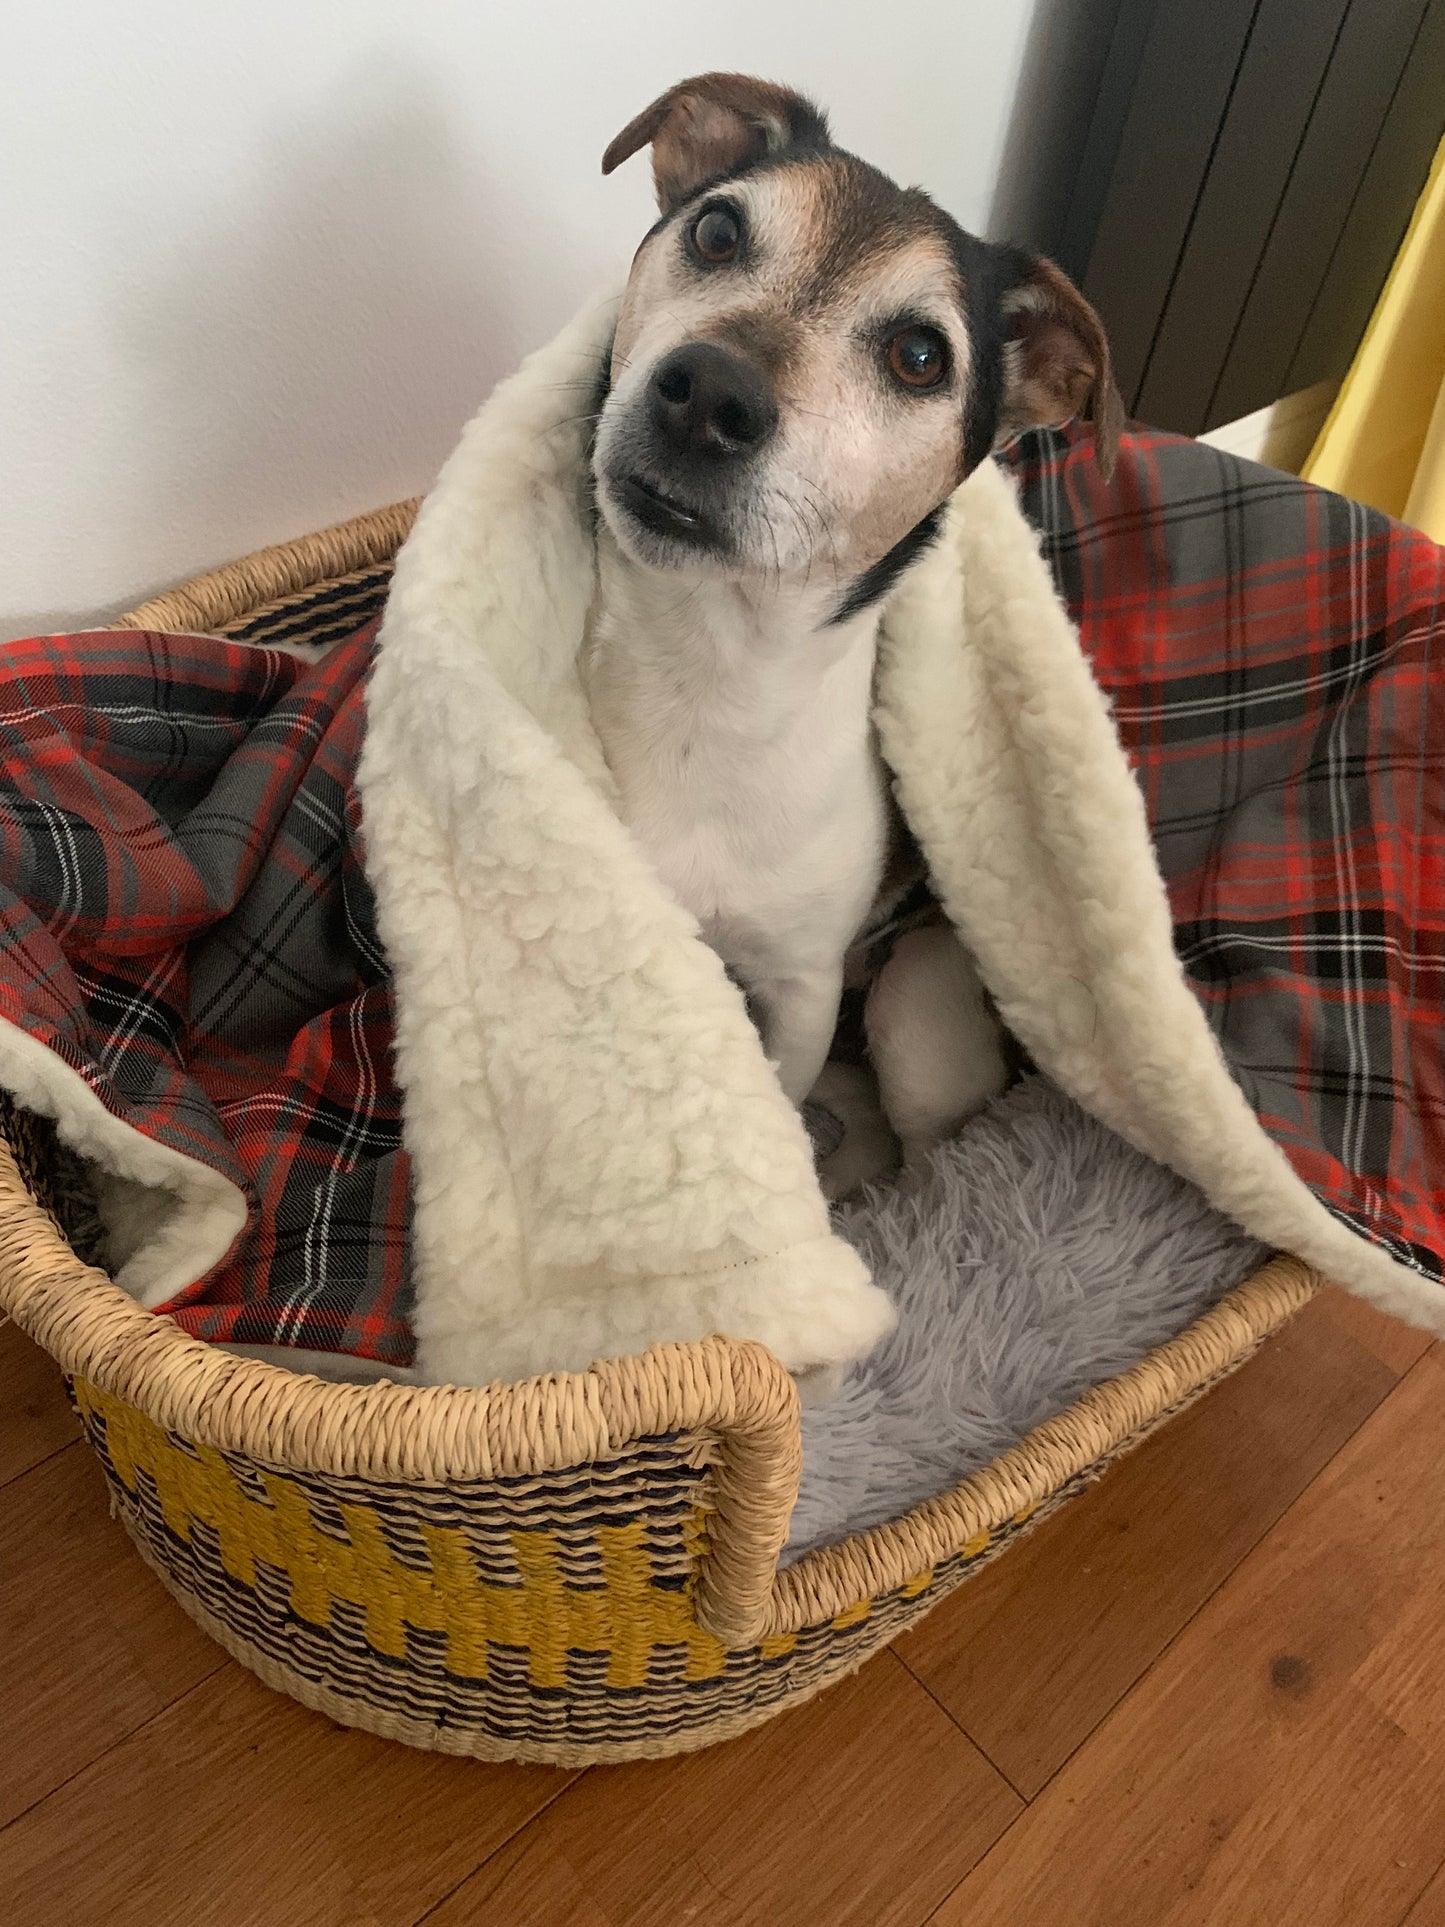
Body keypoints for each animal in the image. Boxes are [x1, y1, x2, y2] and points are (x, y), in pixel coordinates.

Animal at [581, 75, 1125, 1179]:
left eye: (919, 356)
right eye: (715, 231)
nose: (707, 393)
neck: (707, 665)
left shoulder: (797, 989)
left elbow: (779, 1093)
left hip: (913, 1005)